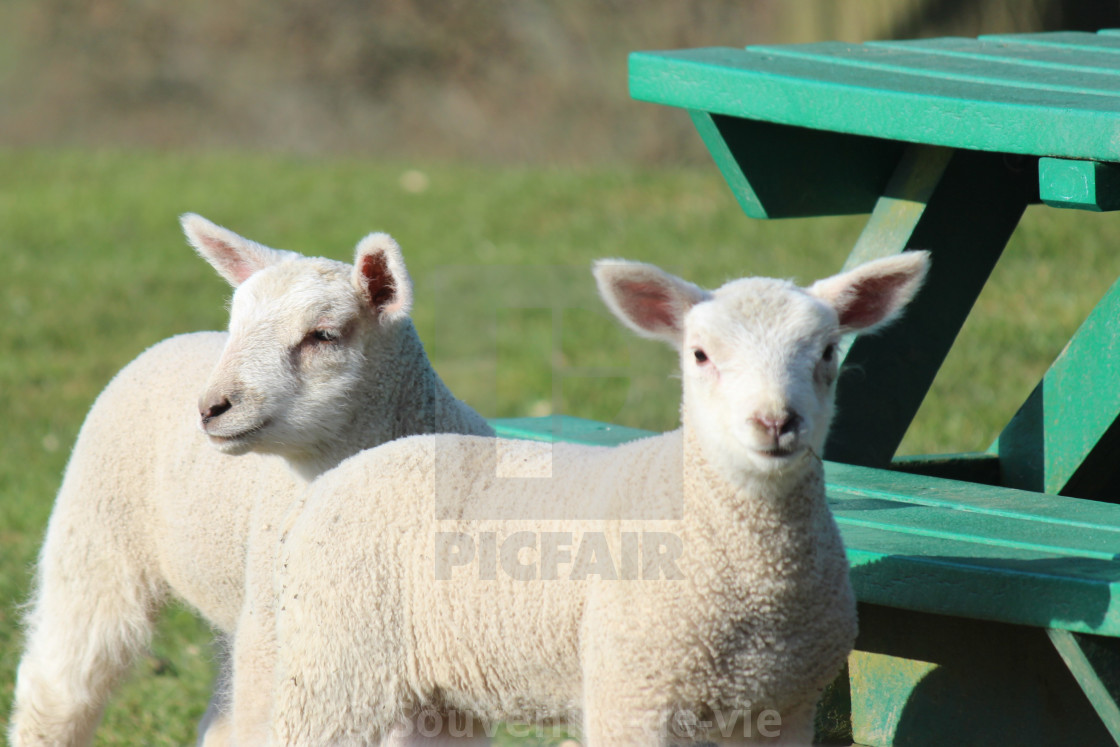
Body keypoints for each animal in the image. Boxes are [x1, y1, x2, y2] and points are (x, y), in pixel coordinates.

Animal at [8, 212, 490, 743]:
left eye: (323, 335)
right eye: (236, 326)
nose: (211, 408)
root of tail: (178, 338)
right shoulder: (279, 635)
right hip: (97, 538)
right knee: (57, 686)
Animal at [234, 253, 927, 747]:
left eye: (829, 353)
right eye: (700, 355)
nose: (777, 423)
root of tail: (348, 466)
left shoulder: (784, 707)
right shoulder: (633, 693)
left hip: (434, 689)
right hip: (334, 661)